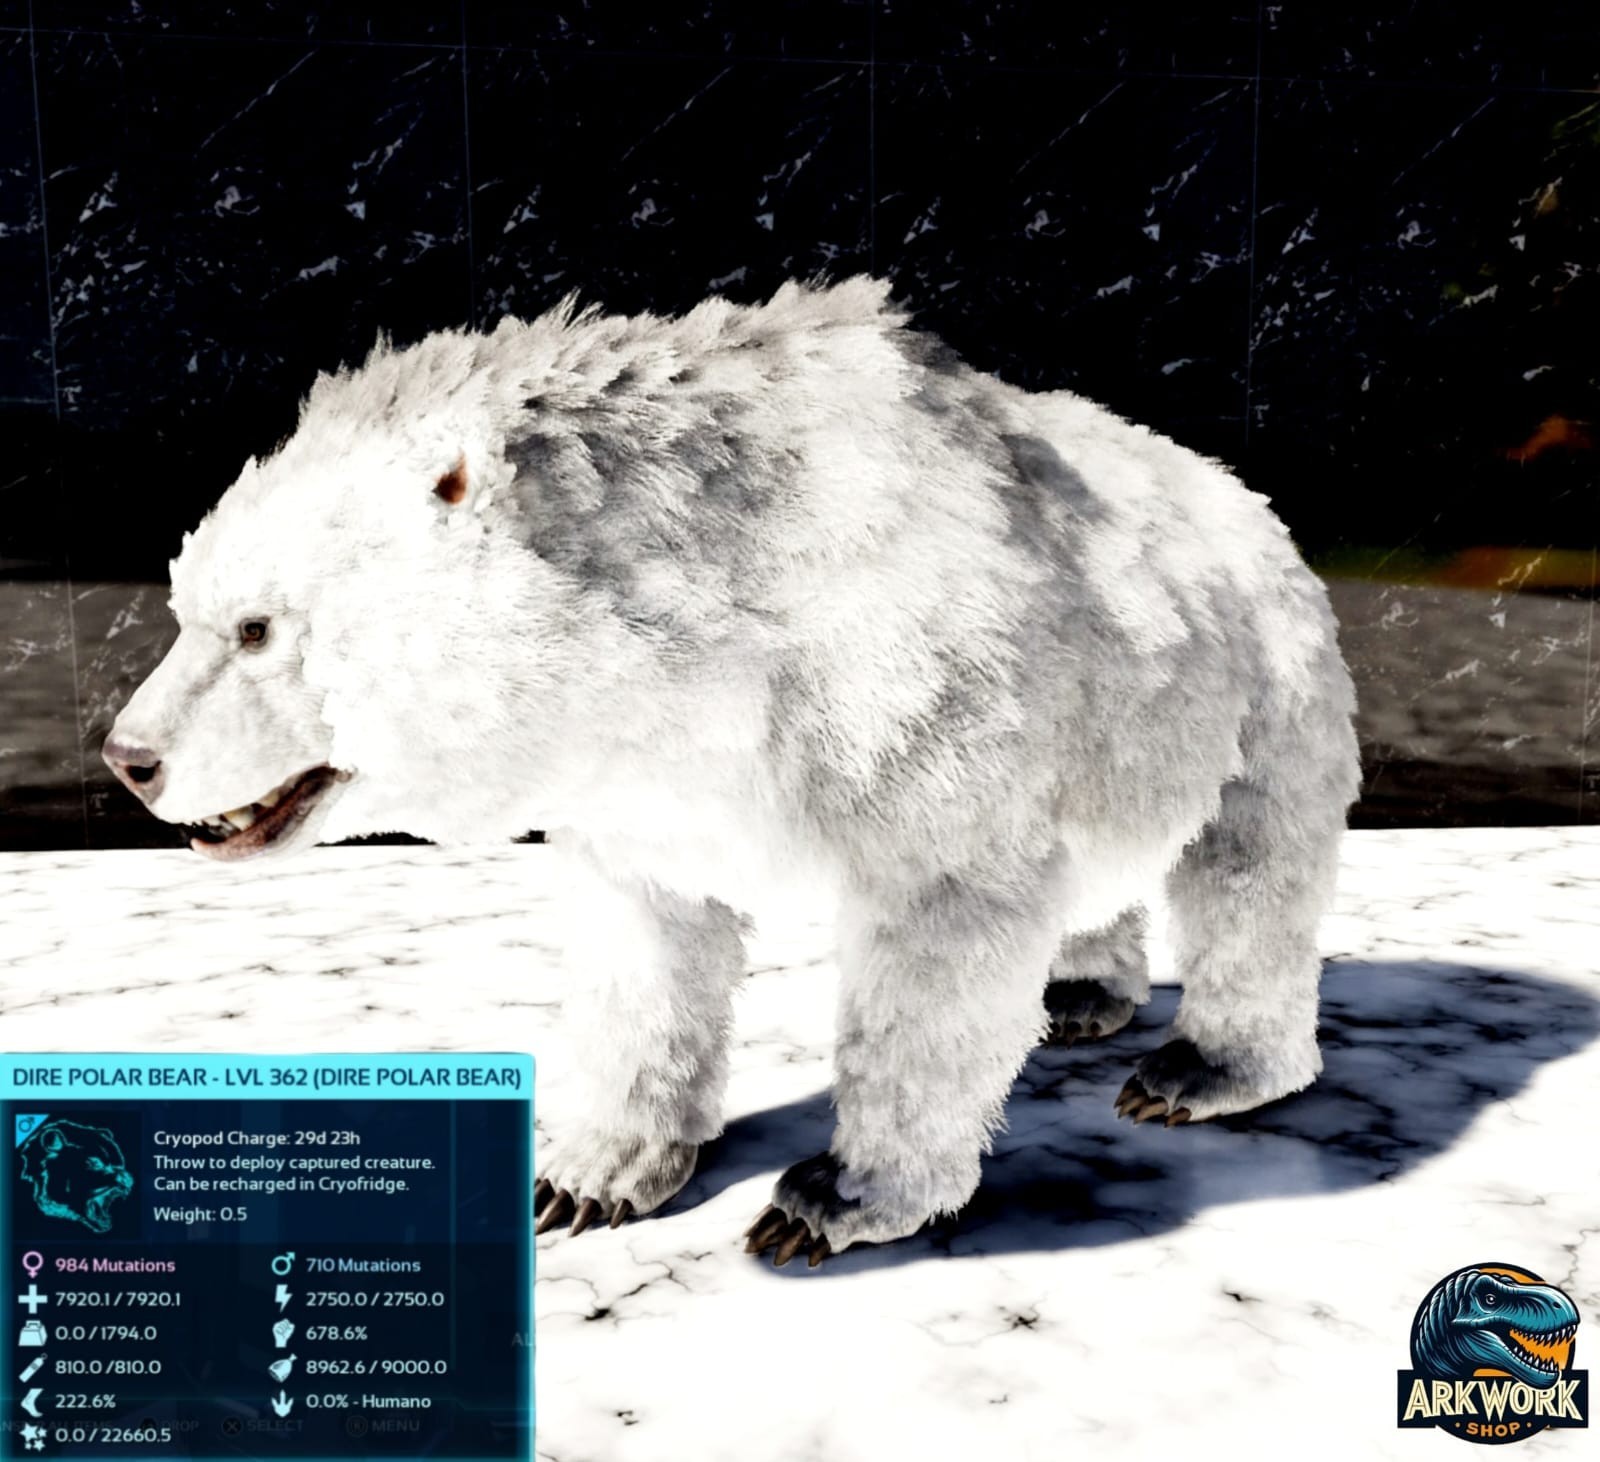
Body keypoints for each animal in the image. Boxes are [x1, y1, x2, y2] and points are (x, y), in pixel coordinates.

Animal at [103, 276, 1361, 1267]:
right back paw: (1078, 992)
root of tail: (1246, 497)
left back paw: (1197, 1070)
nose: (129, 758)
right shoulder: (643, 790)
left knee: (1245, 877)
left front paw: (828, 1200)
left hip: (1262, 679)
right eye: (182, 601)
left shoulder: (923, 715)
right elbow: (649, 952)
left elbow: (938, 947)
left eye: (255, 627)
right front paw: (587, 1173)